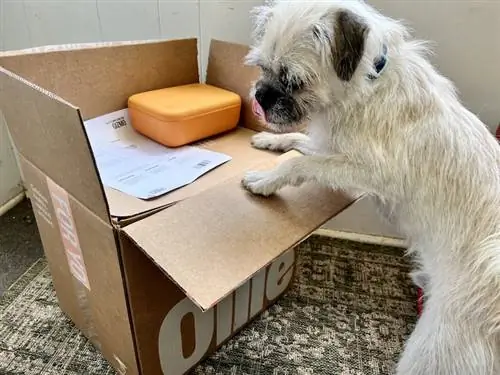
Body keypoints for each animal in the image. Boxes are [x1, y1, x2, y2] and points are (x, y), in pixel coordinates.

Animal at [241, 1, 500, 374]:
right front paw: (270, 141)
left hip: (436, 351)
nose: (261, 95)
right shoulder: (329, 146)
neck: (367, 86)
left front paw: (265, 181)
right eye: (262, 67)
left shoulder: (363, 172)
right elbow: (300, 142)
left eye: (293, 81)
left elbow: (298, 164)